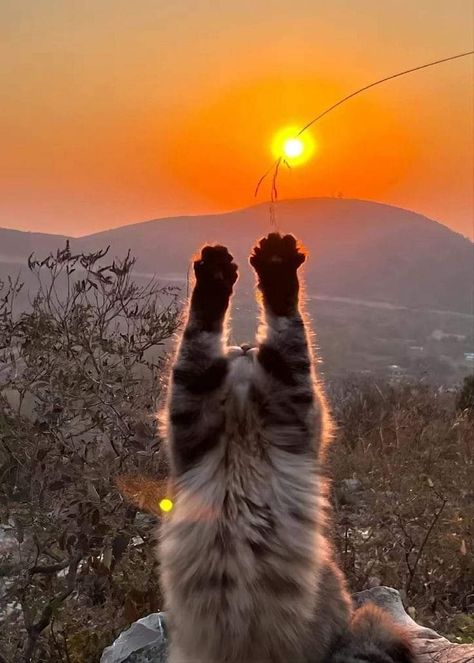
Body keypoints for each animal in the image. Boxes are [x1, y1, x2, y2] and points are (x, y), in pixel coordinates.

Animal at [157, 233, 412, 663]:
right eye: (236, 350)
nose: (245, 347)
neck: (243, 440)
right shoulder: (193, 410)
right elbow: (204, 328)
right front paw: (217, 274)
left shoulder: (288, 398)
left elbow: (285, 326)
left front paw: (275, 265)